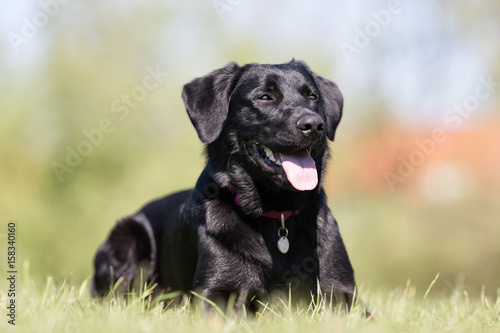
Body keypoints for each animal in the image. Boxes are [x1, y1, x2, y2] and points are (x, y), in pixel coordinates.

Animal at [92, 59, 362, 312]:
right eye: (265, 97)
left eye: (312, 96)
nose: (314, 125)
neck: (277, 215)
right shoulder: (216, 293)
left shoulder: (343, 293)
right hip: (128, 238)